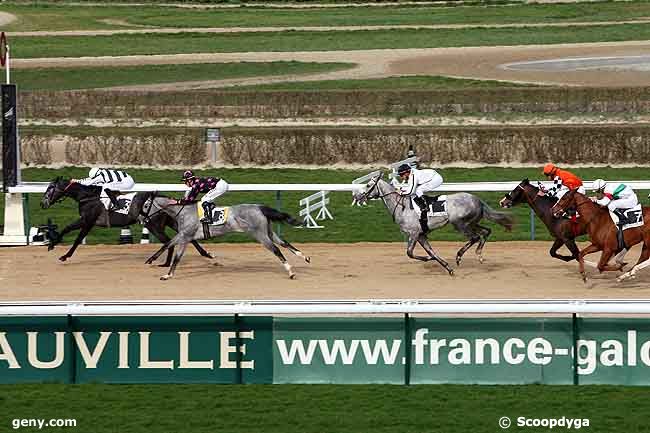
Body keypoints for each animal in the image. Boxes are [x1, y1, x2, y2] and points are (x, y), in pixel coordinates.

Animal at [39, 177, 213, 264]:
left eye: (50, 188)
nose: (42, 203)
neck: (87, 196)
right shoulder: (86, 220)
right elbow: (68, 229)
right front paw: (52, 244)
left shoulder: (88, 220)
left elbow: (75, 237)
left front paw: (63, 255)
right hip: (169, 221)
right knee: (186, 237)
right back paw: (205, 254)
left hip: (153, 225)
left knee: (168, 241)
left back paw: (161, 262)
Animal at [139, 193, 308, 278]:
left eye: (146, 205)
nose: (142, 218)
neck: (184, 211)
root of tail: (259, 207)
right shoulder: (186, 237)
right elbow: (174, 250)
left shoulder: (184, 235)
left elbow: (171, 249)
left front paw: (163, 271)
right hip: (268, 231)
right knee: (284, 243)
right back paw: (304, 257)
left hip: (260, 234)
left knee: (276, 250)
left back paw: (291, 272)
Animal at [352, 173, 512, 272]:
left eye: (368, 185)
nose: (358, 196)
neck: (402, 206)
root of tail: (477, 199)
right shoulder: (421, 235)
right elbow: (431, 251)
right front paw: (447, 267)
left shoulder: (414, 233)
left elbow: (409, 253)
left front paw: (429, 259)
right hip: (471, 223)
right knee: (486, 232)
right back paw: (479, 255)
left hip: (459, 224)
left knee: (475, 237)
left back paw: (460, 256)